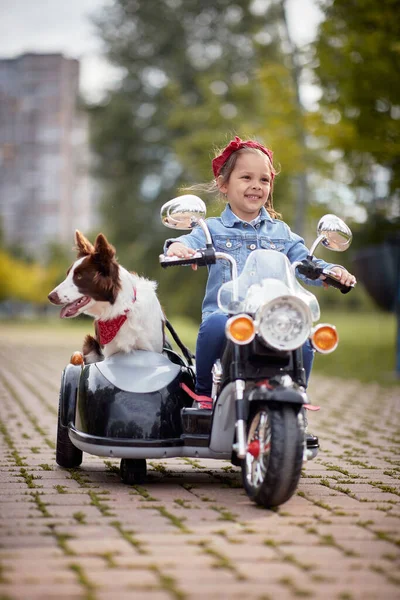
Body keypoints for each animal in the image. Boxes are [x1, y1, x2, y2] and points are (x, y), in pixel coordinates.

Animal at [47, 229, 165, 360]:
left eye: (79, 276)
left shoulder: (152, 349)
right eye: (68, 274)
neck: (120, 310)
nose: (50, 297)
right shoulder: (109, 354)